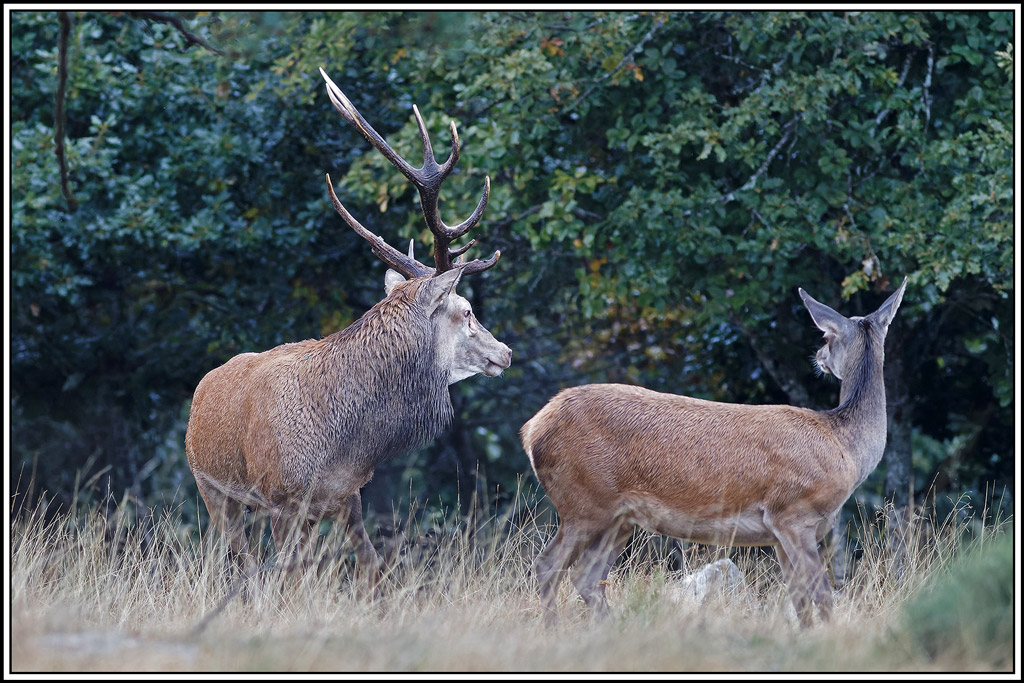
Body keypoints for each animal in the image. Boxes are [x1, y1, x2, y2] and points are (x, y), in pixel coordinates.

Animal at [185, 68, 511, 588]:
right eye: (465, 310)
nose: (505, 352)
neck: (346, 442)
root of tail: (200, 394)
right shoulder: (283, 500)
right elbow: (289, 580)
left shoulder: (348, 495)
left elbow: (372, 567)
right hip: (212, 489)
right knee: (238, 560)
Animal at [521, 277, 907, 627]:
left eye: (826, 338)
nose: (819, 356)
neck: (846, 448)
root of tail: (533, 429)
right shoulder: (794, 513)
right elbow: (821, 595)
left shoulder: (784, 532)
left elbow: (799, 601)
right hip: (584, 501)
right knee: (549, 565)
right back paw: (554, 629)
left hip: (619, 517)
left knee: (587, 576)